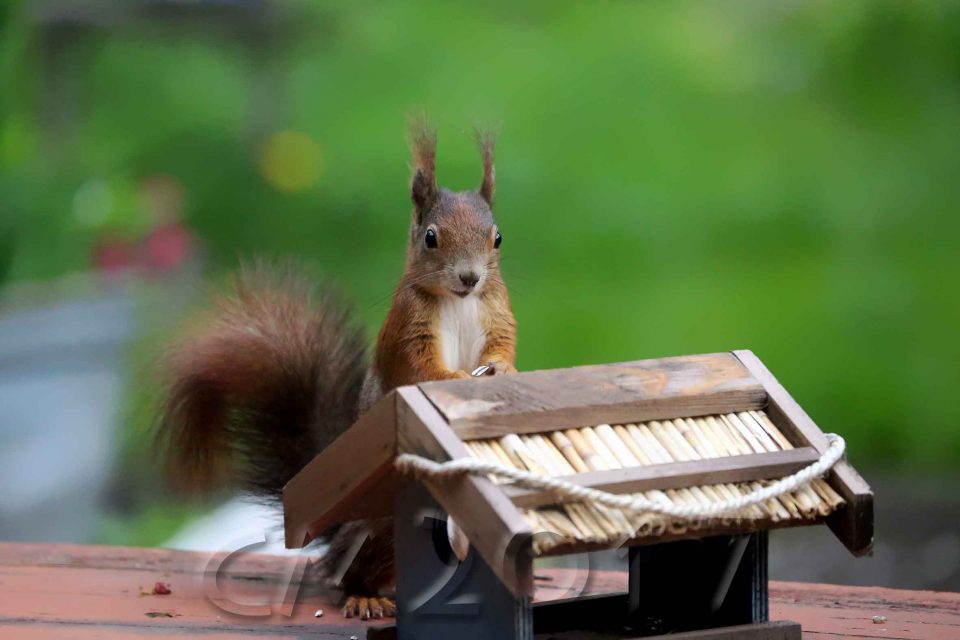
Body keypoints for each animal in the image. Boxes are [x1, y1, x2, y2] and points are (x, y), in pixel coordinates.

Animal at [158, 121, 516, 620]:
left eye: (497, 238)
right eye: (431, 237)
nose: (470, 277)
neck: (461, 301)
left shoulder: (496, 311)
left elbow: (503, 345)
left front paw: (503, 369)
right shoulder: (406, 332)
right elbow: (419, 367)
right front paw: (455, 379)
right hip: (380, 523)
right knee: (346, 572)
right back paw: (365, 594)